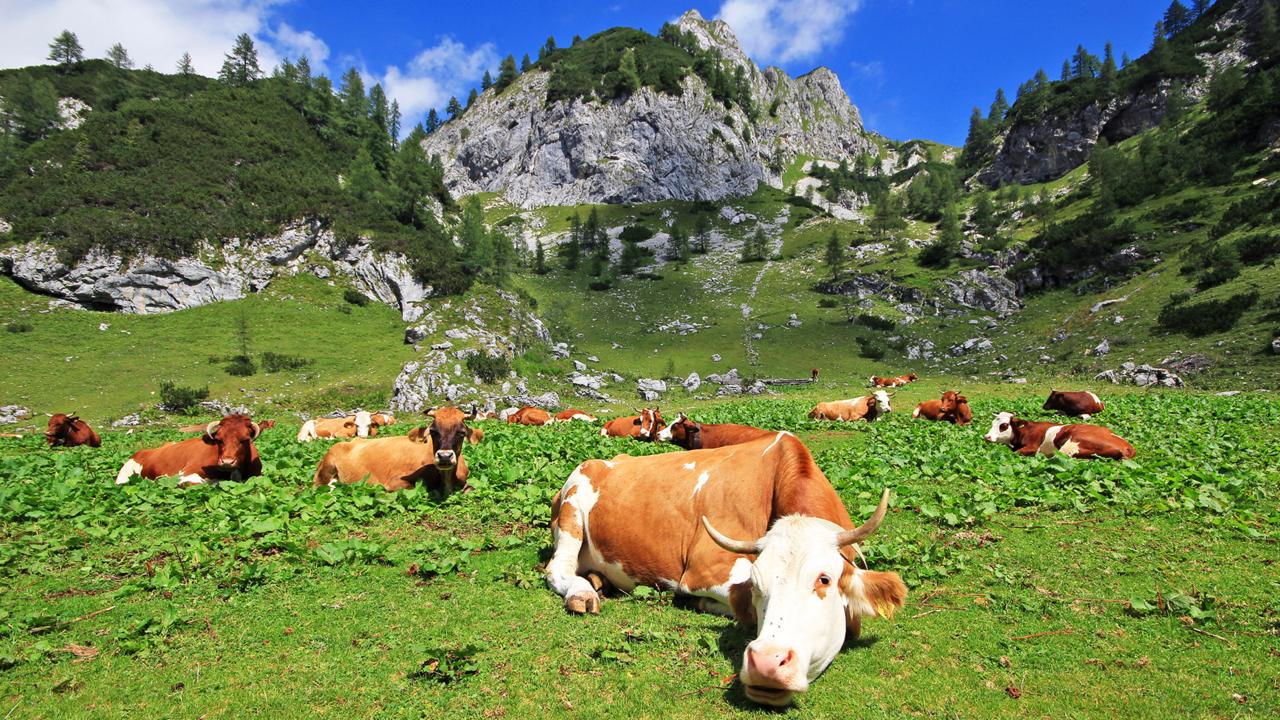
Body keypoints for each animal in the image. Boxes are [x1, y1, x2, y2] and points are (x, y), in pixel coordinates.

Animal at [545, 427, 906, 702]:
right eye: (757, 585)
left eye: (824, 579)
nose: (767, 663)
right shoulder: (705, 570)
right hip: (572, 509)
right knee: (557, 569)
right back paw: (583, 593)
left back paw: (599, 581)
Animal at [983, 409, 1136, 458]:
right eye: (992, 423)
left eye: (1004, 425)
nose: (987, 437)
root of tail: (1128, 447)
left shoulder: (1032, 447)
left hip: (1069, 448)